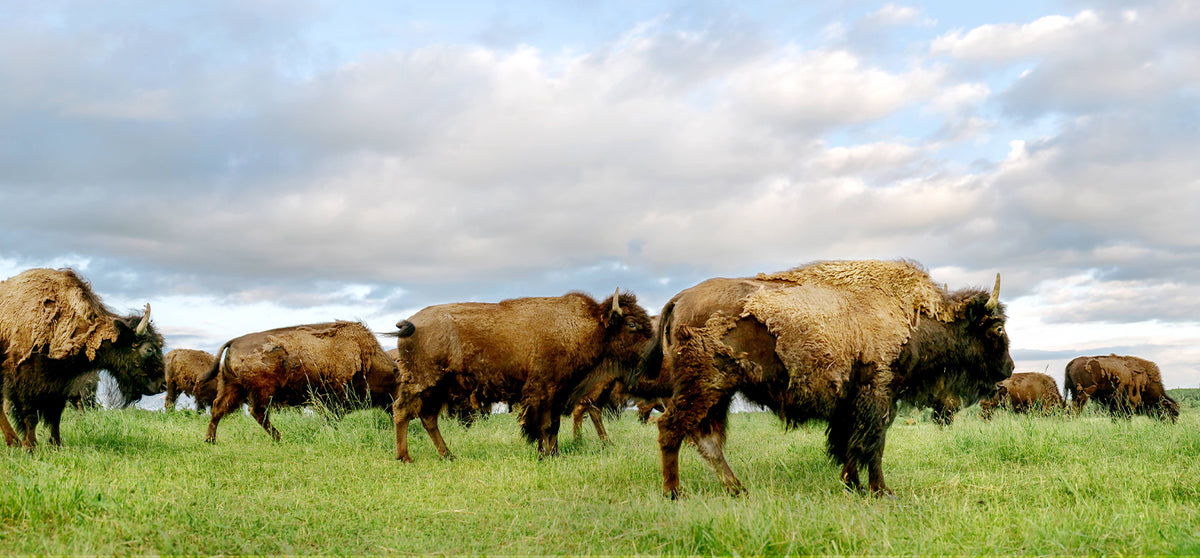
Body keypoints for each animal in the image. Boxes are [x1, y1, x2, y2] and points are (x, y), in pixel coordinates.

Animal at [0, 268, 164, 449]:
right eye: (149, 349)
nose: (162, 384)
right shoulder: (24, 380)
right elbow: (30, 415)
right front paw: (30, 446)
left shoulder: (61, 384)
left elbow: (55, 415)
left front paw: (56, 445)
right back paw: (14, 442)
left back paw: (13, 442)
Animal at [202, 321, 399, 443]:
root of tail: (234, 342)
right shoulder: (334, 401)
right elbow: (331, 419)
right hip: (262, 391)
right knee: (257, 413)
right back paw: (279, 438)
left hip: (232, 387)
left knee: (218, 409)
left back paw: (210, 440)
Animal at [390, 290, 653, 461]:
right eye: (631, 324)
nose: (653, 352)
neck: (584, 326)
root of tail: (411, 323)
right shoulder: (544, 392)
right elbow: (544, 426)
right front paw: (545, 455)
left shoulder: (558, 394)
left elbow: (554, 426)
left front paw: (553, 454)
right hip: (423, 382)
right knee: (402, 410)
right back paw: (405, 457)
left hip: (438, 389)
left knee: (428, 418)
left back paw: (448, 455)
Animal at [636, 260, 1014, 498]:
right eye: (997, 328)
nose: (1008, 369)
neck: (915, 317)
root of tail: (678, 298)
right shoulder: (879, 394)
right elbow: (873, 445)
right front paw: (882, 491)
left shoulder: (852, 404)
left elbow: (850, 445)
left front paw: (853, 484)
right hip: (704, 387)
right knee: (671, 429)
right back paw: (674, 493)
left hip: (719, 393)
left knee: (707, 440)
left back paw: (737, 489)